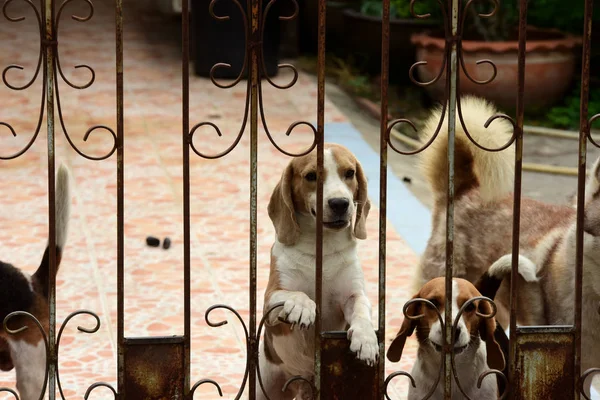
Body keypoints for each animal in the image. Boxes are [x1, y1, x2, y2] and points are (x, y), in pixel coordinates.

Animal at [258, 144, 380, 400]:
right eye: (311, 176)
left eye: (350, 173)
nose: (340, 203)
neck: (322, 248)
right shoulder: (270, 301)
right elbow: (296, 294)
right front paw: (303, 307)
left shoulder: (353, 294)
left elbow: (361, 309)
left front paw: (366, 339)